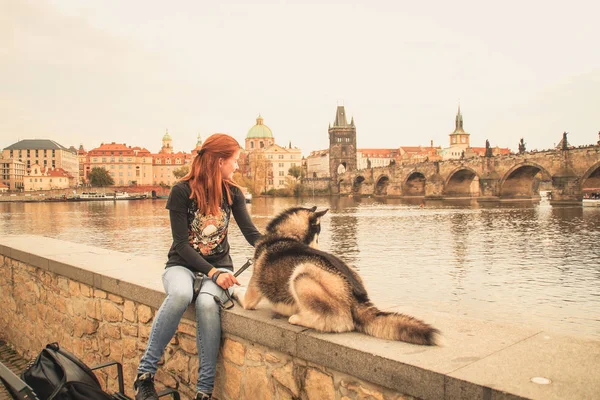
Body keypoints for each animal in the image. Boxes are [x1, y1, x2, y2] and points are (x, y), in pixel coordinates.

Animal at [237, 206, 438, 344]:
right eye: (318, 235)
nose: (317, 248)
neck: (283, 235)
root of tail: (356, 296)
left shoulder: (250, 298)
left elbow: (241, 296)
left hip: (301, 274)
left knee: (338, 322)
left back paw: (298, 318)